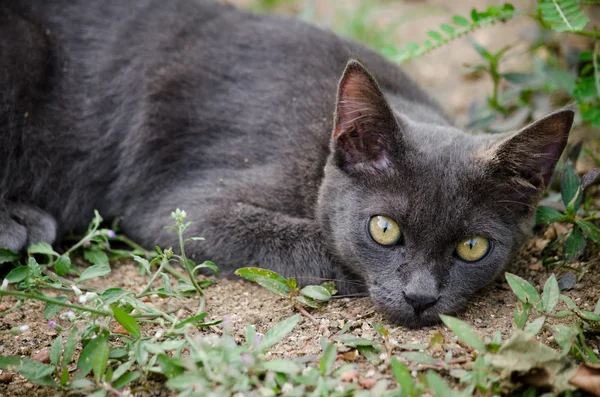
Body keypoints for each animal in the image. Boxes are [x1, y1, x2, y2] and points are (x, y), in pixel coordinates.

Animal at [0, 0, 572, 326]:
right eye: (383, 229)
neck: (318, 145)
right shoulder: (179, 209)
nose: (420, 297)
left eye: (473, 247)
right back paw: (20, 224)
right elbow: (318, 247)